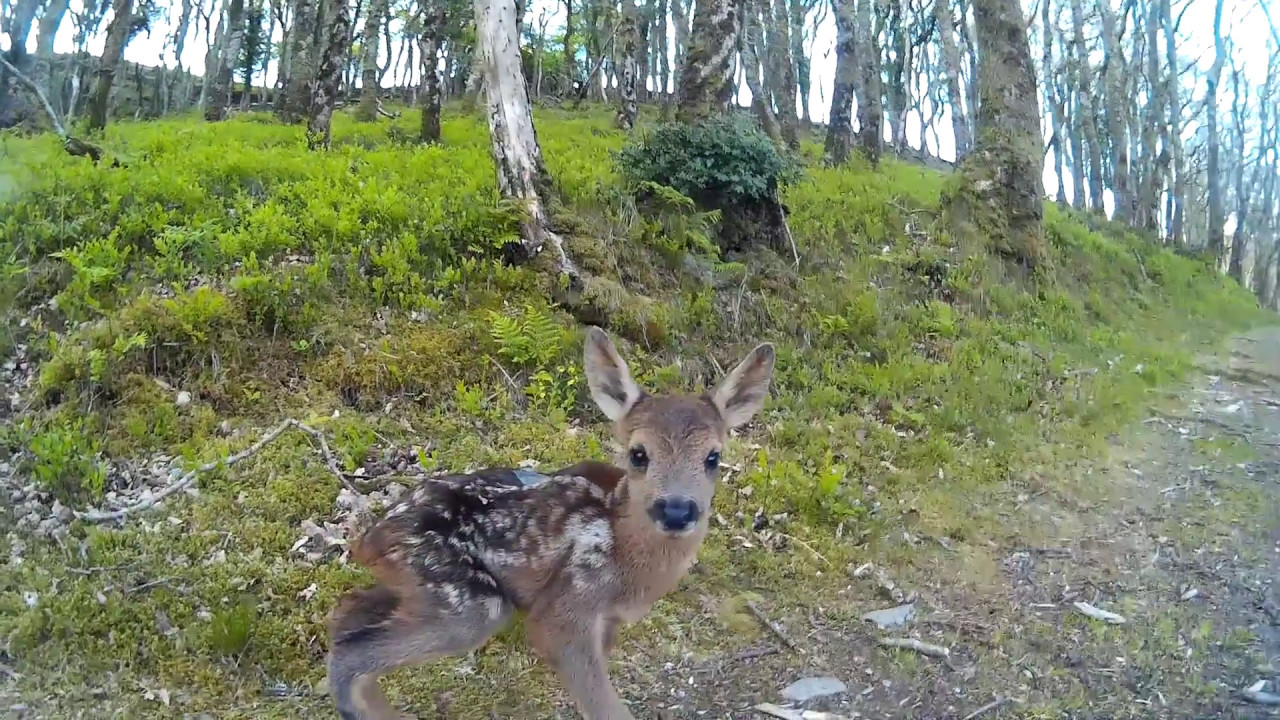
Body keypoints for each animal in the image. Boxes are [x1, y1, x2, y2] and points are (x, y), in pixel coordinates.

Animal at [324, 325, 775, 720]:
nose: (677, 510)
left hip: (416, 588)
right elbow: (605, 707)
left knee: (347, 617)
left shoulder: (608, 622)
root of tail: (368, 539)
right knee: (352, 651)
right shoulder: (567, 606)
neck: (630, 561)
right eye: (638, 454)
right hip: (464, 600)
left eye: (713, 457)